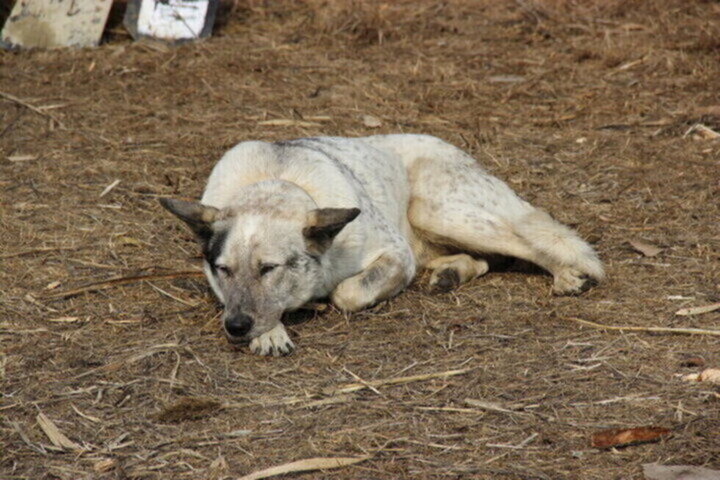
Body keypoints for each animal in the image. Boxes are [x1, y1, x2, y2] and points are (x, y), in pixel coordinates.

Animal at [162, 133, 600, 354]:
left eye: (269, 269)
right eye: (223, 270)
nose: (236, 327)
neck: (277, 179)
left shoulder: (395, 256)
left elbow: (348, 293)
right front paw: (269, 333)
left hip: (438, 211)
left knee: (526, 239)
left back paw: (568, 274)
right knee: (486, 260)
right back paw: (451, 273)